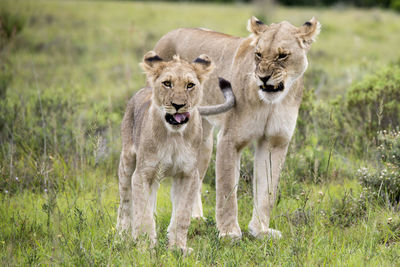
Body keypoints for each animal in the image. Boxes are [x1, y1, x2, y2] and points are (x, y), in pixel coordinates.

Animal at [115, 50, 233, 253]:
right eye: (167, 83)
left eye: (190, 85)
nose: (178, 105)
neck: (174, 137)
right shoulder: (143, 174)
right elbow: (142, 214)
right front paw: (146, 248)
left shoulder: (188, 175)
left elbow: (182, 215)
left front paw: (178, 248)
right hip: (127, 162)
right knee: (125, 203)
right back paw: (121, 237)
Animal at [154, 16, 322, 239]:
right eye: (258, 54)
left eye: (282, 55)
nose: (263, 77)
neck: (271, 103)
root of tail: (168, 34)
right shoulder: (230, 139)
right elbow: (227, 190)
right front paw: (229, 233)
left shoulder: (275, 141)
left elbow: (267, 191)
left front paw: (260, 230)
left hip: (204, 141)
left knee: (194, 177)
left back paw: (194, 217)